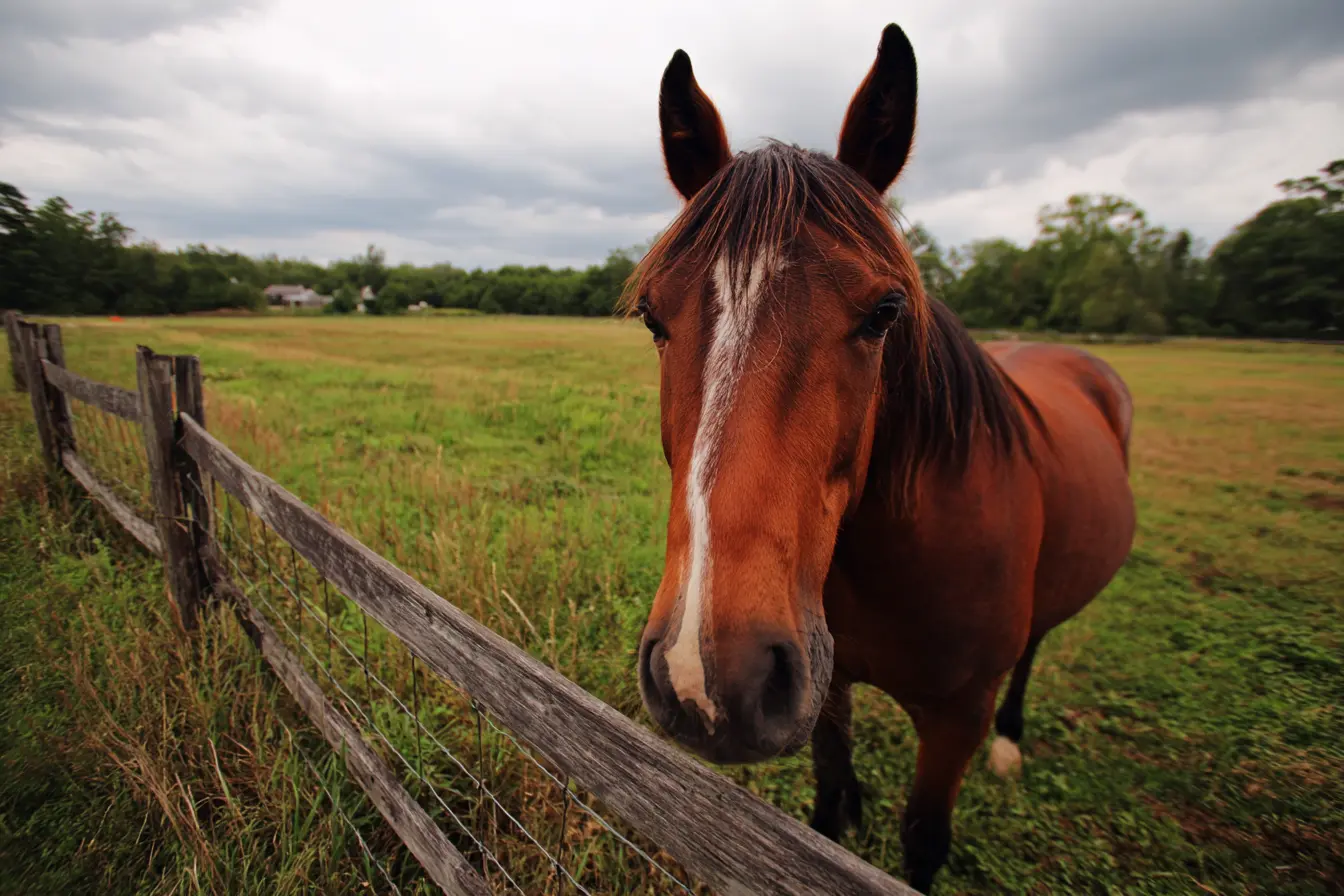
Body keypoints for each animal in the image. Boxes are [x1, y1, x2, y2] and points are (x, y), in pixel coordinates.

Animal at [628, 23, 1136, 894]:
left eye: (884, 312)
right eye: (653, 317)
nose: (707, 677)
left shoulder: (955, 720)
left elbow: (923, 841)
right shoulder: (823, 686)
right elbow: (830, 808)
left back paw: (1012, 743)